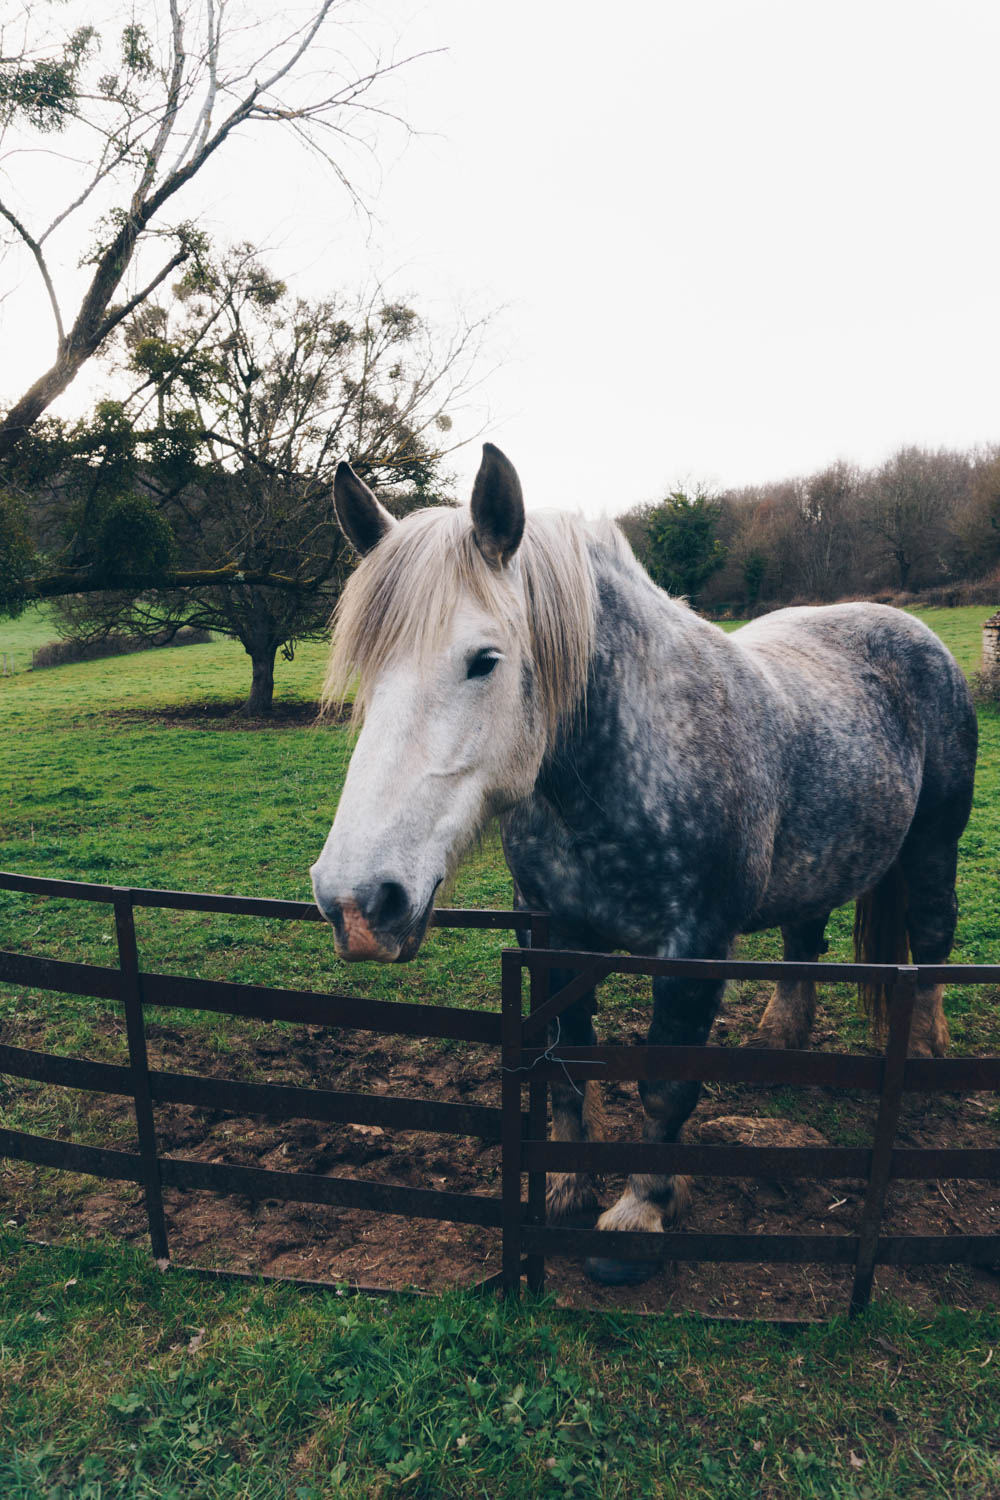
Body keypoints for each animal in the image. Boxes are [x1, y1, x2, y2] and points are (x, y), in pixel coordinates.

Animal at [313, 441, 977, 1278]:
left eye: (484, 660)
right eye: (367, 668)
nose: (359, 903)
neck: (625, 762)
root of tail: (910, 629)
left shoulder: (693, 948)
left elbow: (664, 1086)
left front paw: (639, 1214)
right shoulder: (552, 931)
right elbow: (568, 1067)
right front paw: (565, 1189)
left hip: (933, 850)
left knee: (932, 938)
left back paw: (923, 1053)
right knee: (805, 939)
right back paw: (781, 1043)